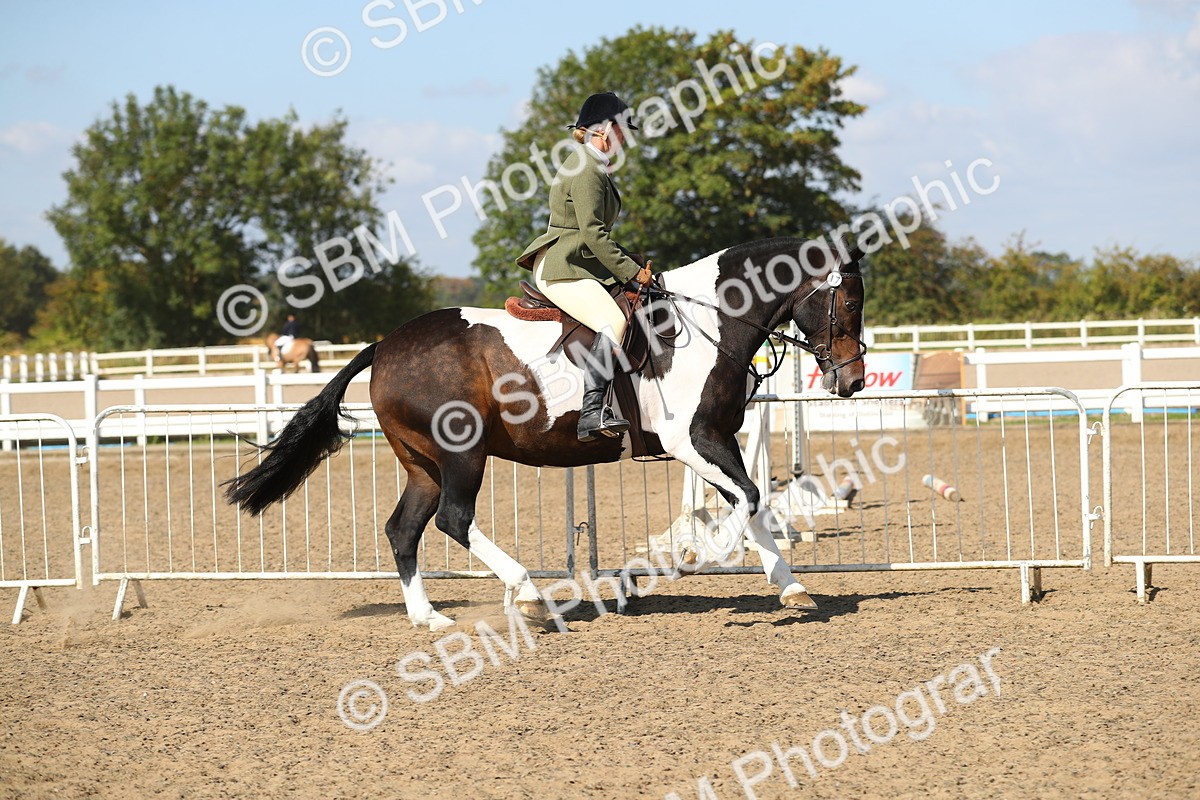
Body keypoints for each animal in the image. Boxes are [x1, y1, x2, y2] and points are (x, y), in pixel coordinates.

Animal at [226, 236, 866, 630]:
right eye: (849, 300)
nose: (854, 379)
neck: (706, 320)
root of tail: (385, 345)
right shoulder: (692, 441)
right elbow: (748, 499)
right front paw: (687, 558)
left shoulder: (717, 440)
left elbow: (754, 503)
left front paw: (790, 587)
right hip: (462, 454)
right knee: (453, 519)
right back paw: (528, 595)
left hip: (423, 463)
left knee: (404, 530)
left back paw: (428, 616)